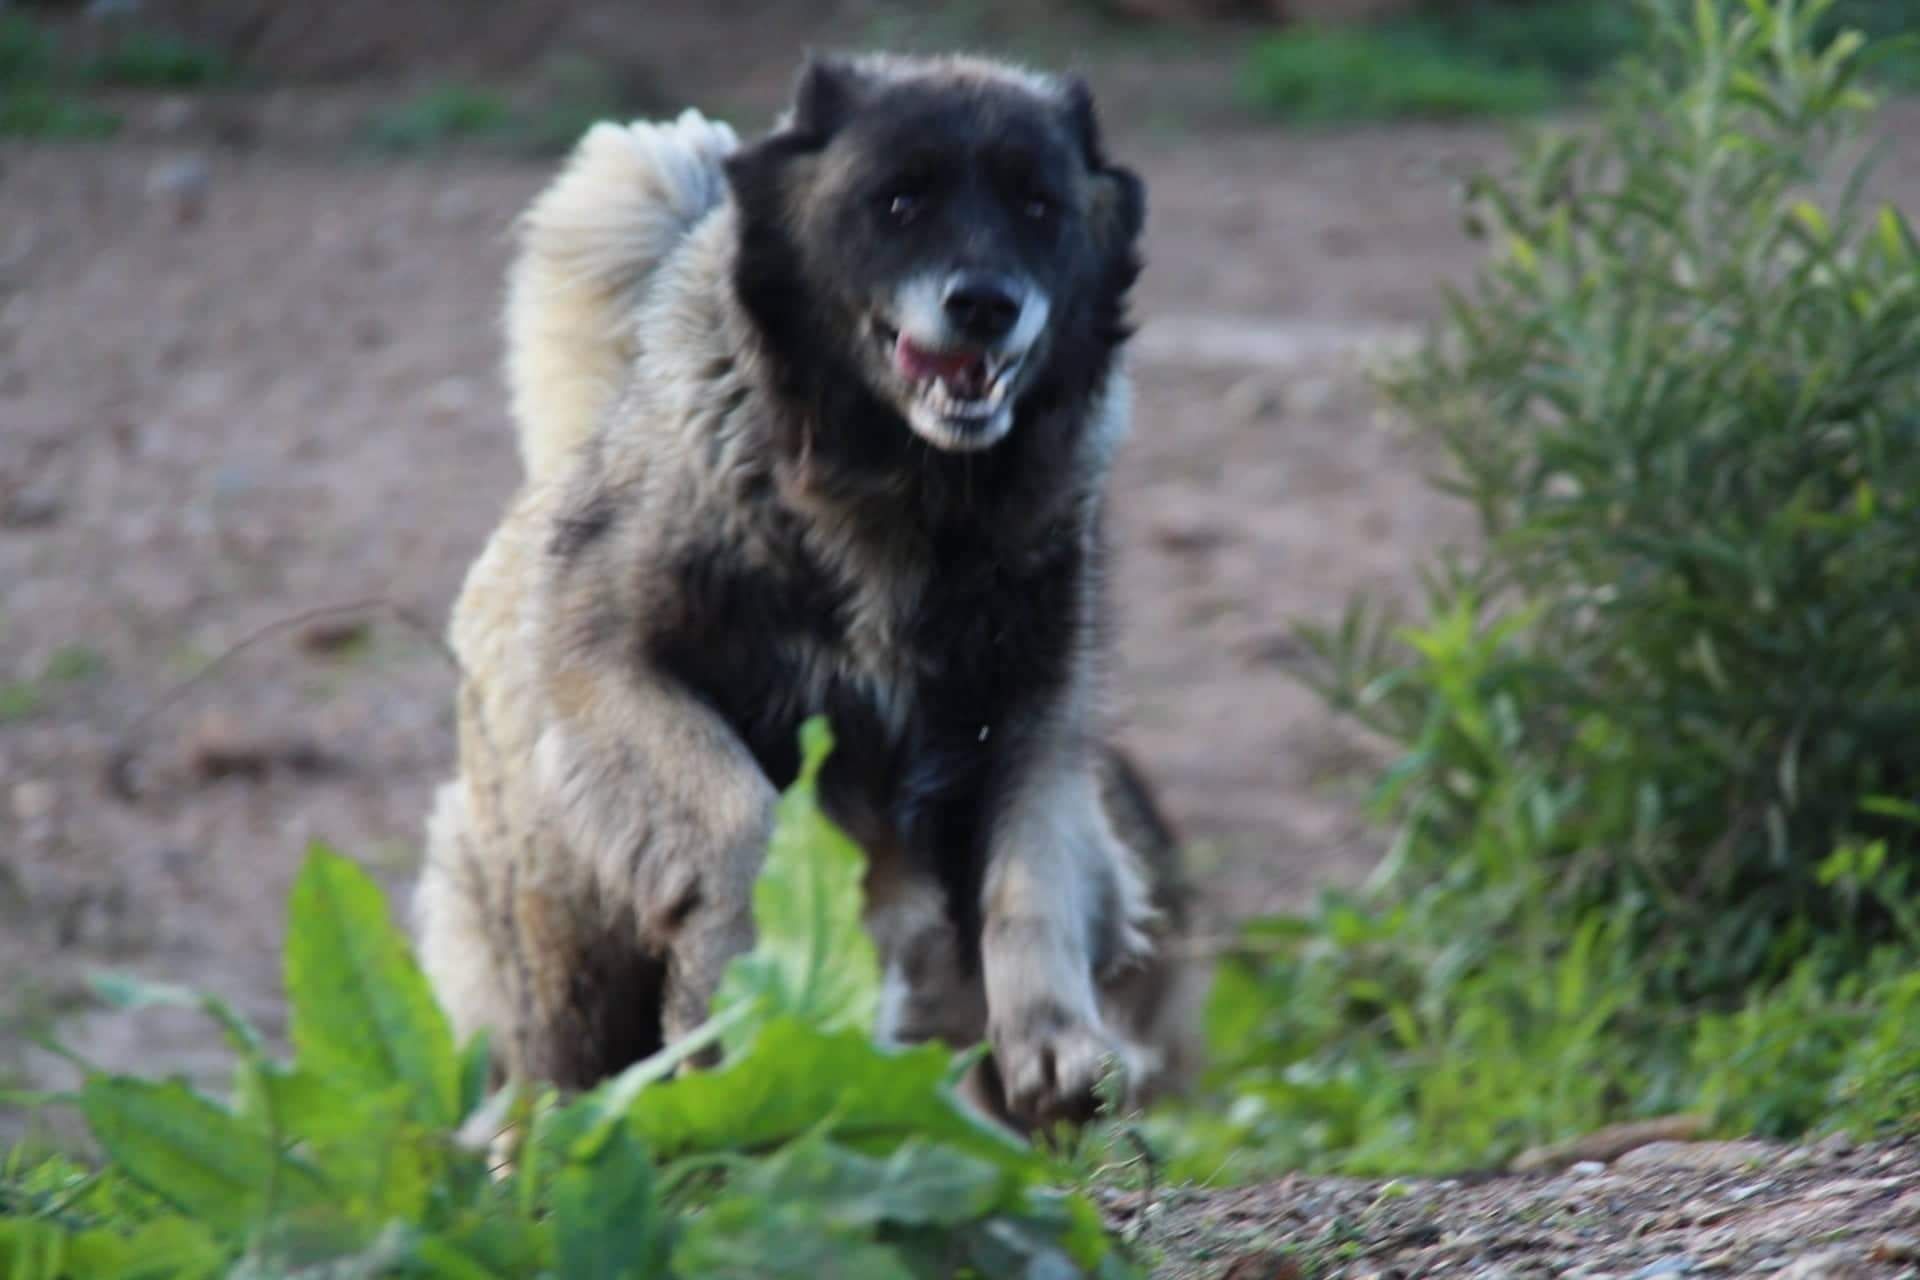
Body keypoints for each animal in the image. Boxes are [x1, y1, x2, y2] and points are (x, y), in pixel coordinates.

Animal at [416, 52, 1198, 1128]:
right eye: (899, 199)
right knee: (550, 1079)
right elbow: (740, 817)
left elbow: (1030, 878)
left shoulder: (1029, 719)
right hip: (565, 962)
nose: (985, 302)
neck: (903, 498)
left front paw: (1057, 1043)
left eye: (1039, 206)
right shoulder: (611, 667)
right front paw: (733, 999)